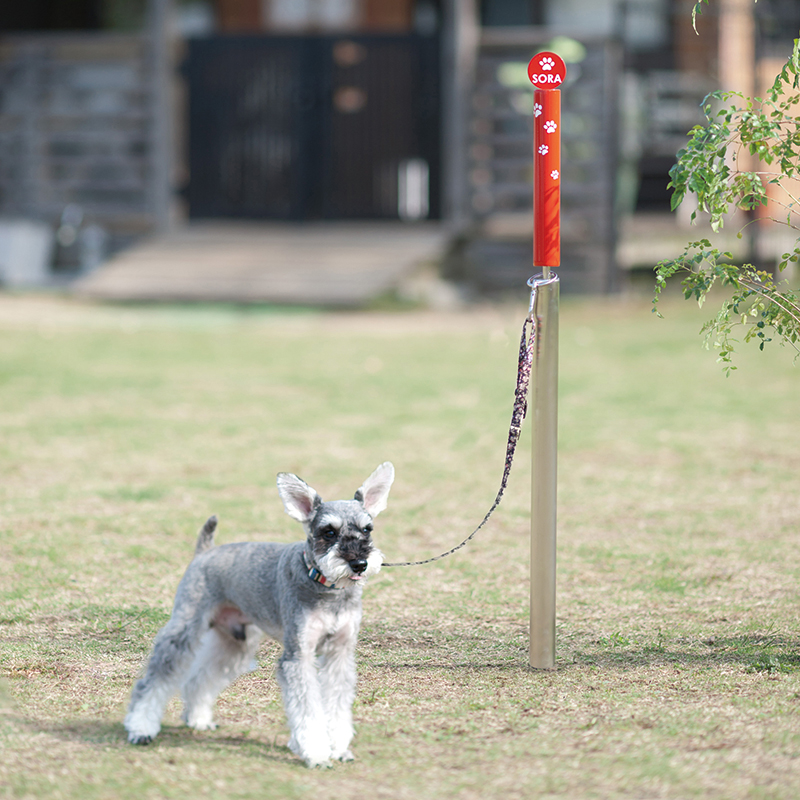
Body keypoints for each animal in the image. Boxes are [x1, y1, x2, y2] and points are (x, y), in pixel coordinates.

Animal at [123, 462, 394, 768]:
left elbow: (336, 704)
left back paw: (198, 719)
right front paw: (316, 753)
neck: (324, 584)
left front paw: (337, 748)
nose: (359, 563)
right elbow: (308, 708)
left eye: (367, 529)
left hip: (235, 643)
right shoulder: (298, 655)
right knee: (153, 680)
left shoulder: (340, 653)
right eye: (329, 532)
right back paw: (141, 727)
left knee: (198, 680)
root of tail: (204, 553)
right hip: (184, 630)